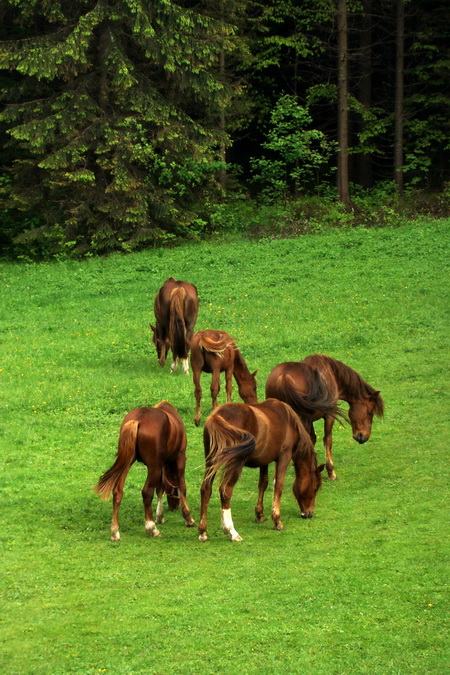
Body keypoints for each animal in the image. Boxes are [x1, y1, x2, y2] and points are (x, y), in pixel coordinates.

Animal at [94, 402, 194, 544]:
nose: (173, 507)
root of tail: (137, 420)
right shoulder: (179, 458)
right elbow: (181, 486)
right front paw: (188, 518)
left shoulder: (161, 464)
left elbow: (160, 488)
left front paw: (160, 516)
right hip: (153, 466)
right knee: (147, 492)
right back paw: (152, 528)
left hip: (129, 462)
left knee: (118, 492)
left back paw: (115, 531)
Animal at [198, 402, 324, 544]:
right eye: (315, 488)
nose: (309, 513)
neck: (289, 421)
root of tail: (217, 416)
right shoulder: (284, 456)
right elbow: (278, 486)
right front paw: (277, 521)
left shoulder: (264, 460)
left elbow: (263, 483)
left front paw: (260, 514)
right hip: (235, 464)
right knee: (225, 491)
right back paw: (232, 531)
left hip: (211, 461)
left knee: (206, 489)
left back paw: (203, 531)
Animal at [266, 356, 384, 484]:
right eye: (369, 412)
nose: (363, 437)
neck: (331, 373)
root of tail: (283, 377)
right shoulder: (329, 415)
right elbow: (327, 440)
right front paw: (330, 472)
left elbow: (313, 439)